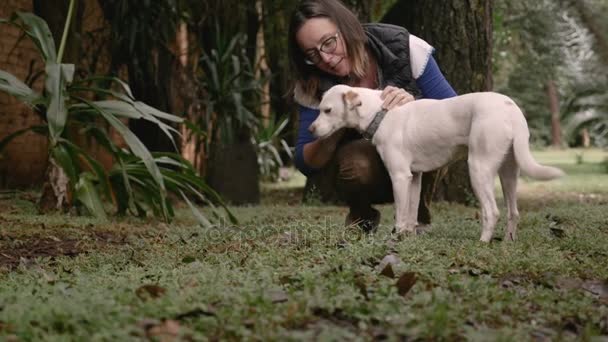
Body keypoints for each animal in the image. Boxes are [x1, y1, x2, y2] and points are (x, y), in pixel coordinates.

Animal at [308, 84, 564, 242]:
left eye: (327, 110)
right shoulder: (414, 178)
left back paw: (483, 241)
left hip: (478, 169)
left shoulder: (399, 176)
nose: (310, 129)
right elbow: (411, 213)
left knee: (492, 212)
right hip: (509, 173)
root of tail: (509, 106)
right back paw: (508, 242)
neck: (381, 113)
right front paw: (408, 237)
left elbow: (400, 213)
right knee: (514, 212)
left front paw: (396, 237)